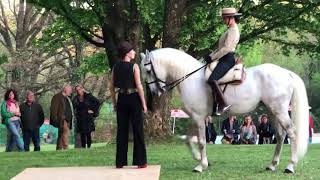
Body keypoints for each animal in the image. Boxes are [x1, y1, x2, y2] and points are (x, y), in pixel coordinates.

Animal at [141, 47, 310, 173]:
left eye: (148, 70)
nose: (155, 92)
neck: (190, 78)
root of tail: (286, 72)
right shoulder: (196, 117)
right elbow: (189, 140)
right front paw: (200, 159)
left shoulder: (198, 117)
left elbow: (201, 141)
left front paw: (200, 165)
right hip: (272, 111)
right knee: (281, 135)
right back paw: (272, 165)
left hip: (279, 111)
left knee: (291, 132)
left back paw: (290, 166)